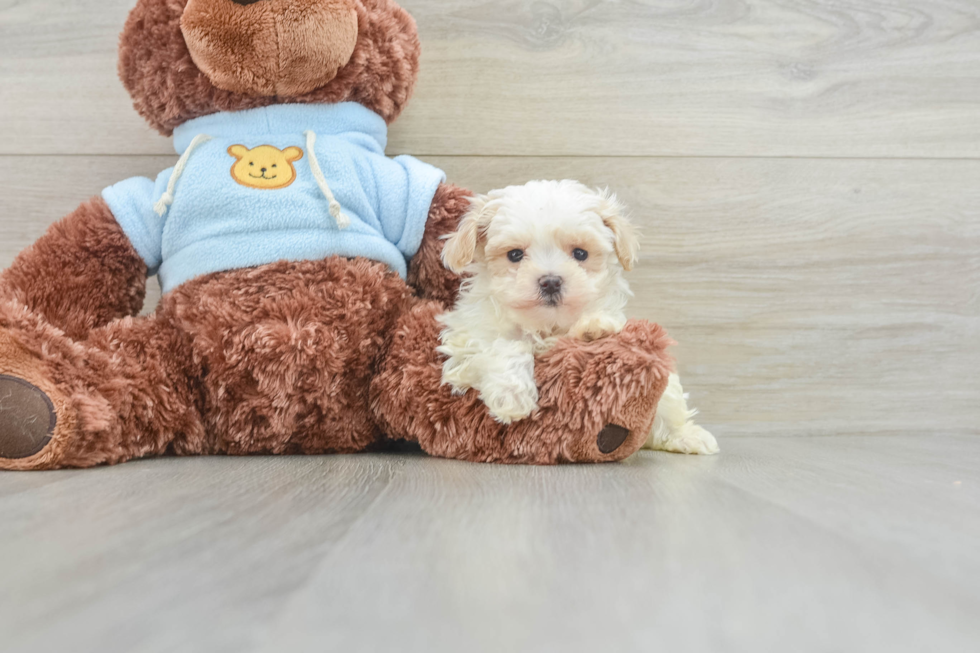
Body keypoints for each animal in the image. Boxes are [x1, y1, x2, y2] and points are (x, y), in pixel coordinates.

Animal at [440, 178, 716, 454]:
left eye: (580, 253)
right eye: (515, 254)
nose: (551, 282)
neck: (547, 326)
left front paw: (594, 328)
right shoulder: (465, 342)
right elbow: (503, 345)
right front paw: (512, 396)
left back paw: (688, 436)